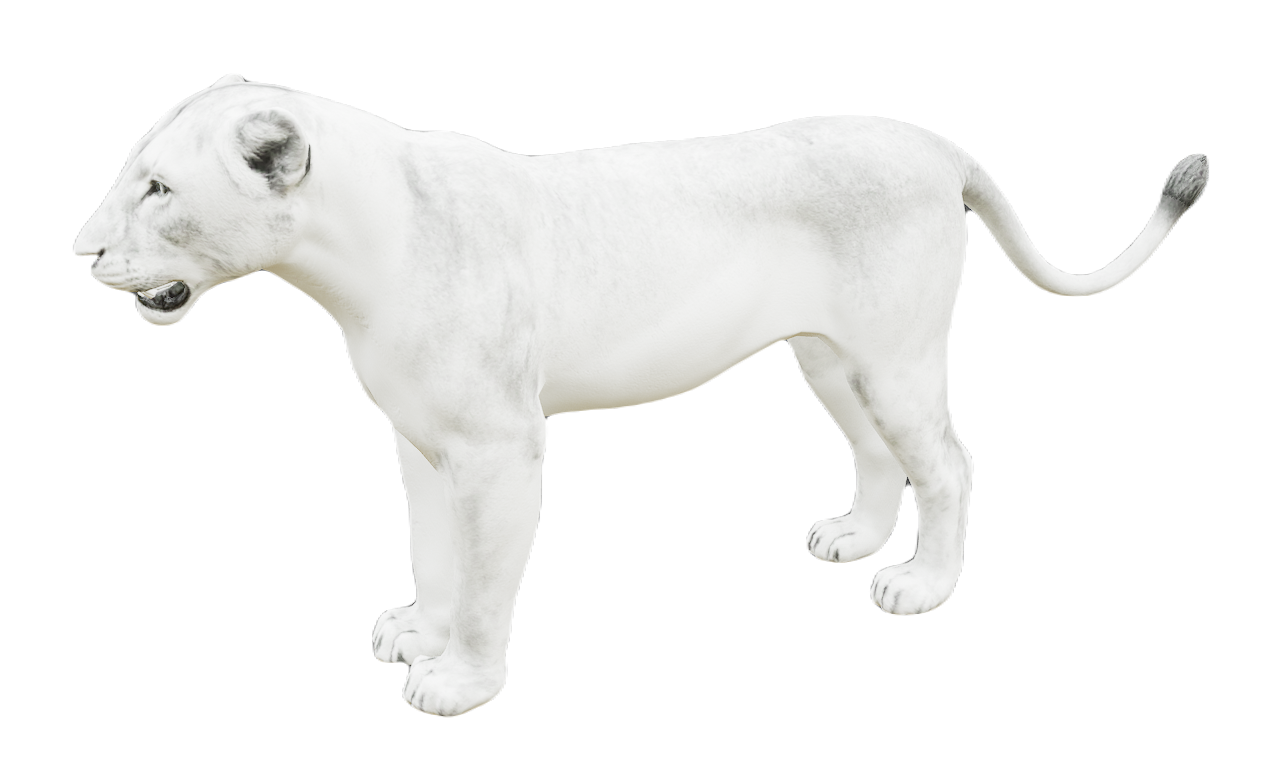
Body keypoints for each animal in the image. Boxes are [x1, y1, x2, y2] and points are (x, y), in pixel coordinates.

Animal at [74, 74, 1209, 716]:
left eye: (159, 190)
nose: (82, 254)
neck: (351, 261)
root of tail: (935, 144)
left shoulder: (501, 448)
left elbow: (486, 580)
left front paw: (459, 680)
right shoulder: (419, 441)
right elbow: (433, 552)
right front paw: (418, 628)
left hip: (894, 355)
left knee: (949, 461)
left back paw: (922, 583)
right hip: (827, 358)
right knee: (879, 453)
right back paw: (852, 541)